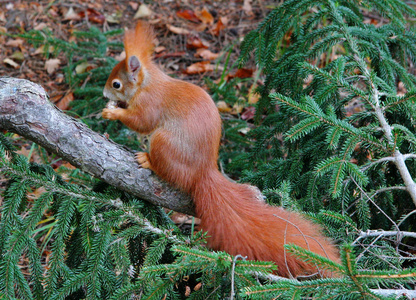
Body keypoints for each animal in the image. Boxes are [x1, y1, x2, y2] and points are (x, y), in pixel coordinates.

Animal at [102, 21, 340, 278]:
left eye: (116, 84)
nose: (104, 94)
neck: (147, 84)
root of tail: (203, 172)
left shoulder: (150, 103)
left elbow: (141, 121)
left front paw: (113, 112)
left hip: (163, 143)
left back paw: (148, 160)